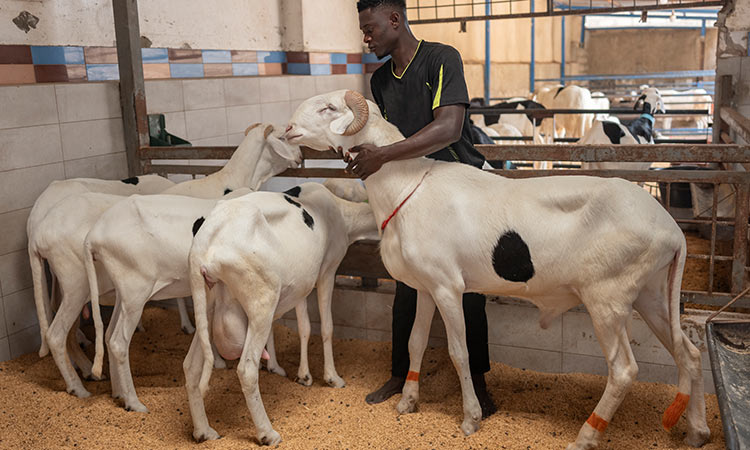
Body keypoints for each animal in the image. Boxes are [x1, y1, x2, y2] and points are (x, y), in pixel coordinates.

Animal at [185, 181, 378, 444]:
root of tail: (203, 243)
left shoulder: (302, 282)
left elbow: (305, 326)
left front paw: (304, 376)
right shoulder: (326, 271)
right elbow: (327, 327)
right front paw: (331, 377)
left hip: (206, 304)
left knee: (191, 366)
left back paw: (204, 430)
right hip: (262, 301)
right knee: (246, 369)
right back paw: (268, 433)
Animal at [282, 90, 712, 450]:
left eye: (329, 108)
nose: (287, 127)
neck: (406, 187)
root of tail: (671, 228)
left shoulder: (448, 287)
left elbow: (460, 352)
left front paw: (471, 418)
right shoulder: (424, 285)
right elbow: (415, 342)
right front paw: (408, 401)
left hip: (607, 298)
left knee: (624, 370)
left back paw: (586, 436)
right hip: (651, 294)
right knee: (689, 354)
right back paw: (697, 431)